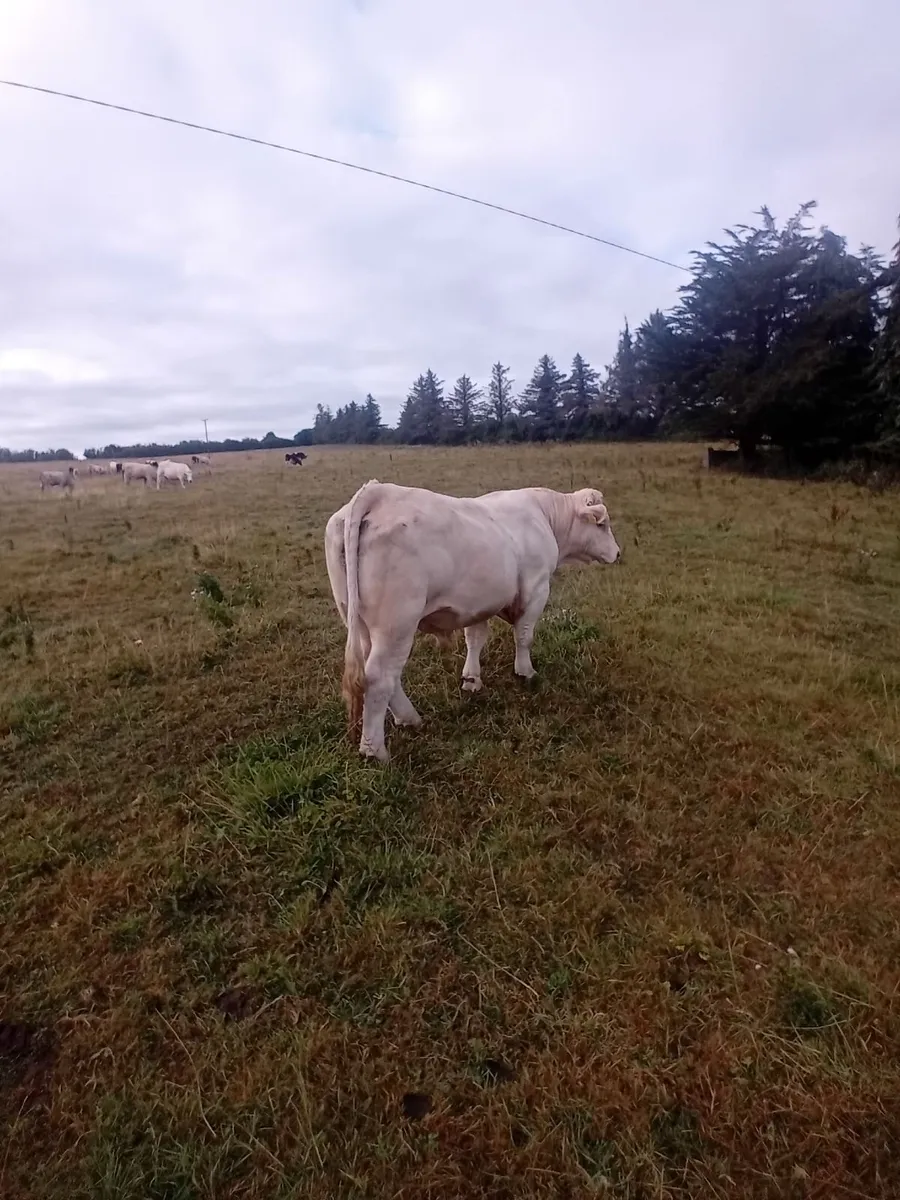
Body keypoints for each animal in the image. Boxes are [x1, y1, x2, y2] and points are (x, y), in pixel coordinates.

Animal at [324, 479, 621, 762]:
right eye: (603, 524)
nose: (617, 553)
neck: (544, 515)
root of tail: (377, 491)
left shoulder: (478, 602)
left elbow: (475, 639)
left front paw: (471, 679)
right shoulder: (536, 590)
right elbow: (524, 636)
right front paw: (525, 672)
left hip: (360, 621)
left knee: (380, 672)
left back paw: (409, 718)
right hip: (396, 624)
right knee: (380, 676)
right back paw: (375, 750)